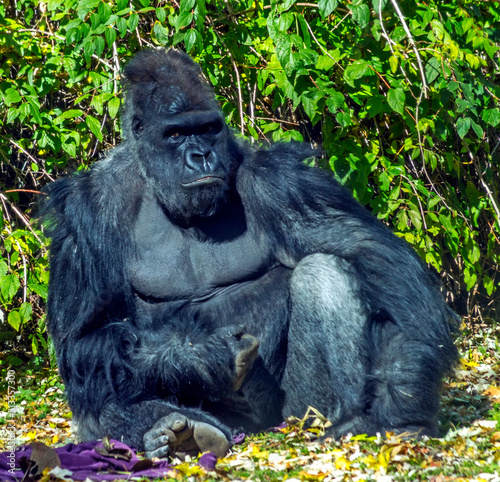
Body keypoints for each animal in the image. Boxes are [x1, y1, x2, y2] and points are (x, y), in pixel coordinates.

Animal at [42, 49, 458, 460]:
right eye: (175, 134)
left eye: (208, 128)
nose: (201, 155)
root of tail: (257, 432)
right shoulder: (88, 211)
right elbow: (84, 338)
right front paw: (199, 354)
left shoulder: (280, 180)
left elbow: (373, 254)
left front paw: (406, 392)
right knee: (101, 389)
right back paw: (173, 432)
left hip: (295, 412)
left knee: (324, 272)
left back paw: (351, 419)